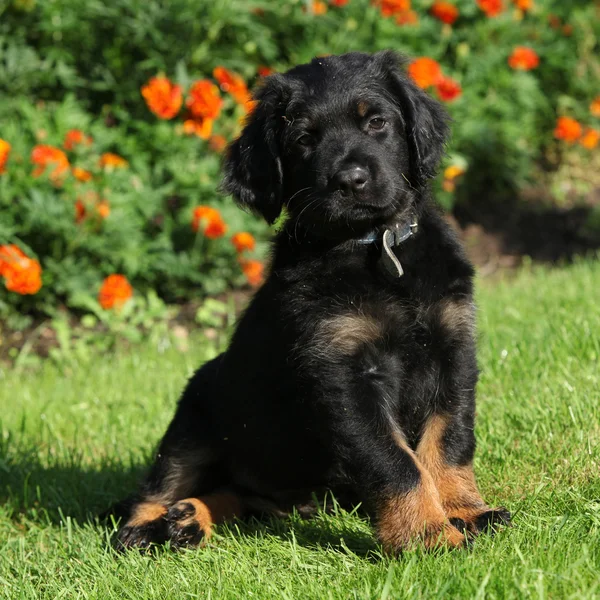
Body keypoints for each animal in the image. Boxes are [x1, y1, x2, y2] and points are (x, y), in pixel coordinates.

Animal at [117, 51, 510, 552]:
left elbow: (449, 439)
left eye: (376, 122)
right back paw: (150, 526)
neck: (374, 247)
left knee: (239, 496)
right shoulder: (342, 372)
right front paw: (427, 533)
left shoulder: (453, 348)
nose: (351, 179)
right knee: (160, 485)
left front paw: (465, 511)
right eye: (304, 139)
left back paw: (189, 518)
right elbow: (394, 461)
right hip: (195, 414)